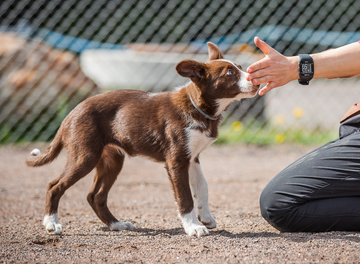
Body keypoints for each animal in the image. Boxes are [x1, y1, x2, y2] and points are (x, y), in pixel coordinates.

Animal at [26, 42, 260, 237]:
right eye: (229, 72)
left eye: (239, 67)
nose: (255, 80)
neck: (198, 107)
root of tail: (71, 114)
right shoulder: (176, 161)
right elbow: (184, 197)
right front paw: (193, 227)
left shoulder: (192, 157)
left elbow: (202, 186)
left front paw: (206, 218)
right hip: (85, 156)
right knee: (54, 186)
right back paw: (51, 224)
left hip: (112, 160)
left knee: (95, 196)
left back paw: (116, 224)